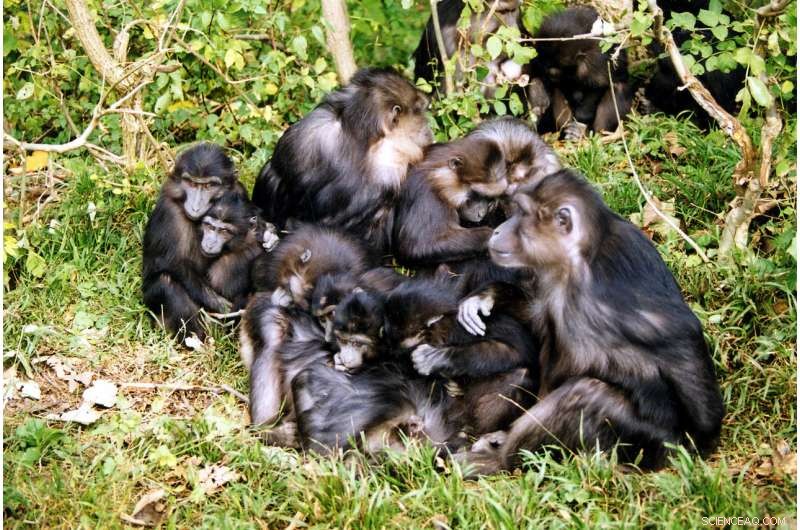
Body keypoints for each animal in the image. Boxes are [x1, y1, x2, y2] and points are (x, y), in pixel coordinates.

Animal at [141, 142, 246, 341]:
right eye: (191, 183)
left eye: (209, 185)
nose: (196, 206)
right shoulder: (169, 210)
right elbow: (174, 263)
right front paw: (222, 306)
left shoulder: (240, 192)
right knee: (166, 283)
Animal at [455, 169, 725, 474]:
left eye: (523, 213)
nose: (499, 230)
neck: (578, 255)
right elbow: (539, 318)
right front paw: (487, 297)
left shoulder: (599, 289)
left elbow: (680, 338)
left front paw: (702, 436)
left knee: (587, 394)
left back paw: (500, 460)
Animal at [527, 6, 634, 138]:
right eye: (549, 71)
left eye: (554, 72)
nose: (550, 74)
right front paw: (538, 94)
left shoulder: (596, 61)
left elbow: (598, 87)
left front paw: (581, 120)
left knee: (618, 88)